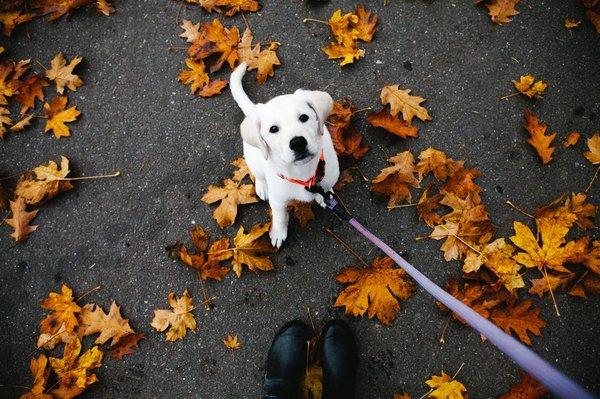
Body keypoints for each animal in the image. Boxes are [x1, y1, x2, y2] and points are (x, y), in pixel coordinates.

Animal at [231, 63, 338, 247]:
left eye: (304, 117)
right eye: (273, 129)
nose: (298, 142)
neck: (303, 173)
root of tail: (256, 108)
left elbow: (325, 189)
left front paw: (325, 196)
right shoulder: (278, 200)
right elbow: (280, 217)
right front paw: (278, 233)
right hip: (255, 161)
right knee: (258, 175)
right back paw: (262, 186)